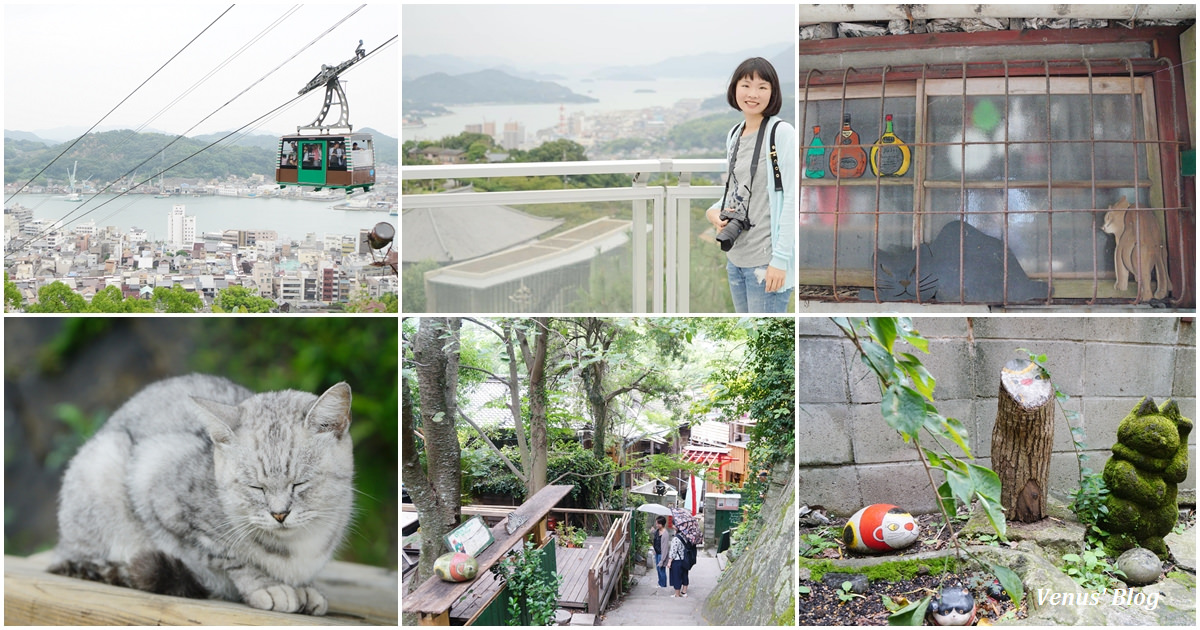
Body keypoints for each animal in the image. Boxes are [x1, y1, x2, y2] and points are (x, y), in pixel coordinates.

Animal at [52, 374, 350, 614]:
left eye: (300, 484)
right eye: (256, 487)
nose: (279, 514)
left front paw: (307, 588)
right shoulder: (157, 483)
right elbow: (229, 556)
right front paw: (267, 586)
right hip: (103, 461)